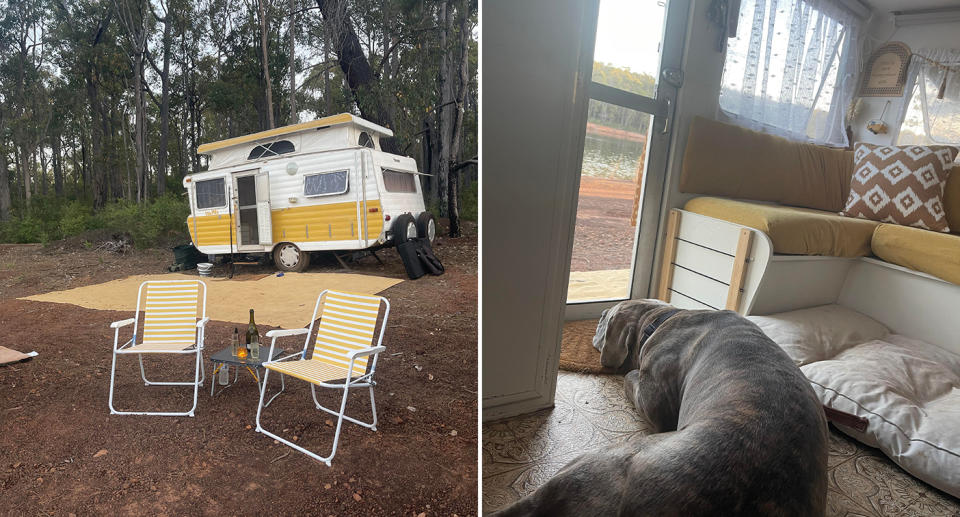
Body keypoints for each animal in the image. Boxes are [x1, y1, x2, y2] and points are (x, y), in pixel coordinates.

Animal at [492, 300, 828, 512]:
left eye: (605, 320)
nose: (599, 315)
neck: (663, 319)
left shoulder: (656, 403)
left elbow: (631, 377)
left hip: (597, 460)